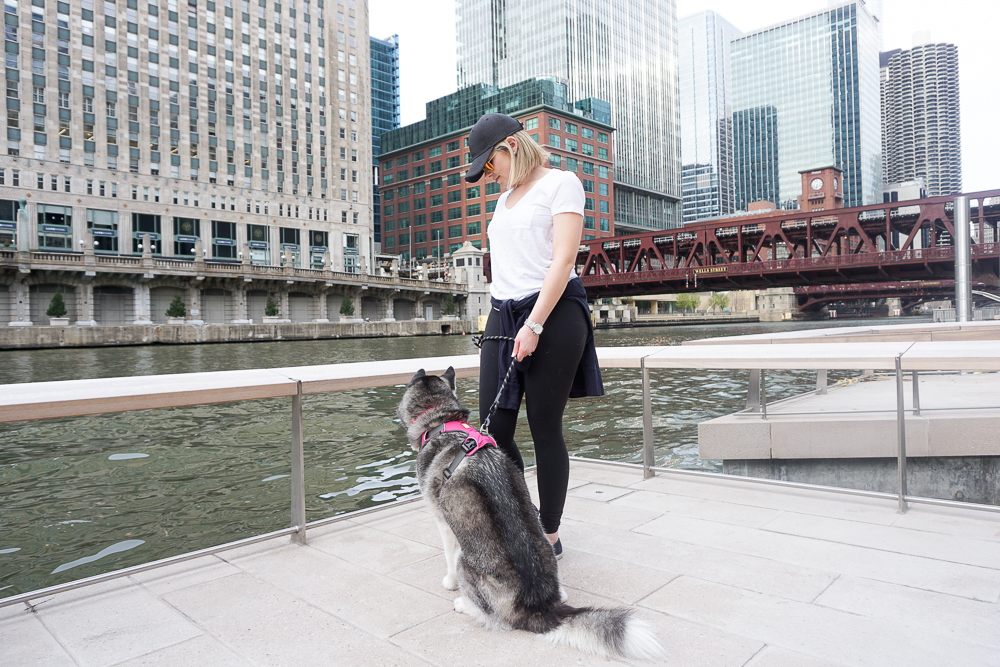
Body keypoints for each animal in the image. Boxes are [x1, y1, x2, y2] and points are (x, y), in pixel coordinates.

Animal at [396, 368, 664, 660]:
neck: (441, 421)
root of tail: (540, 605)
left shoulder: (443, 521)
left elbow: (446, 556)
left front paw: (449, 583)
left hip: (466, 562)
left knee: (493, 617)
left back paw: (464, 604)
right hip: (545, 546)